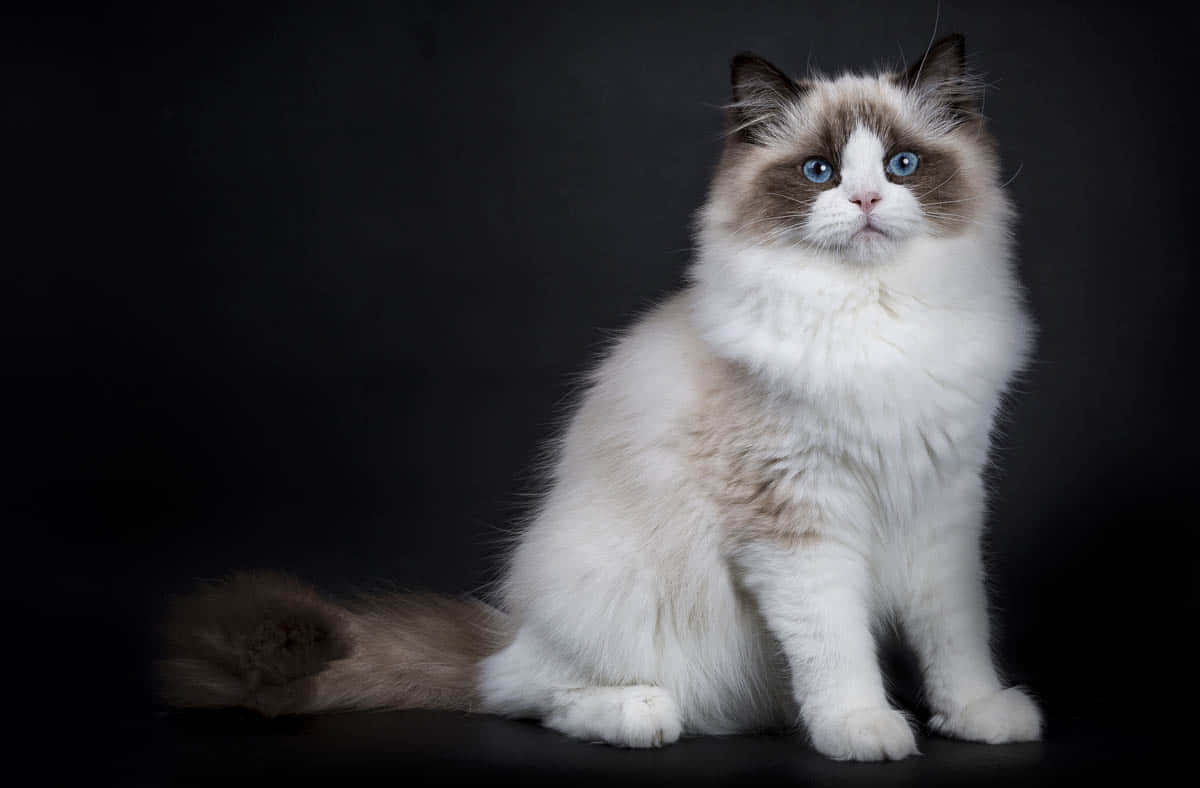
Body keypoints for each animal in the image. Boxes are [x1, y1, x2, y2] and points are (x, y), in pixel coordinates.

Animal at [159, 33, 1041, 758]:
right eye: (819, 172)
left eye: (901, 166)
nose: (863, 202)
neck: (873, 318)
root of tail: (508, 631)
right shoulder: (798, 524)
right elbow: (837, 646)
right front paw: (863, 728)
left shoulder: (945, 504)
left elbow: (957, 636)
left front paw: (981, 715)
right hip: (619, 593)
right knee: (525, 694)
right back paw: (640, 715)